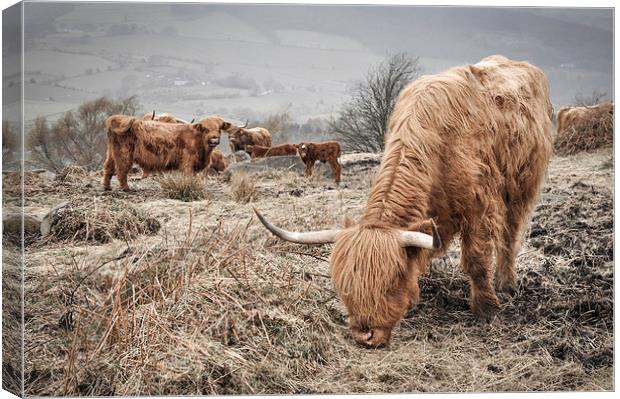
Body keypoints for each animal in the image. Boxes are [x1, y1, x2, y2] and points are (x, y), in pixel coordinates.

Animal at [104, 115, 235, 191]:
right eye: (205, 129)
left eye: (219, 129)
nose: (214, 140)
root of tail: (118, 118)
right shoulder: (187, 162)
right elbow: (188, 176)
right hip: (124, 153)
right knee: (121, 170)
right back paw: (126, 188)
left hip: (112, 152)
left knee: (108, 167)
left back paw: (107, 187)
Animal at [254, 54, 556, 348]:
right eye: (345, 287)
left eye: (390, 284)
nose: (366, 336)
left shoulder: (478, 206)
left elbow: (477, 259)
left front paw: (487, 310)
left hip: (522, 183)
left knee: (510, 232)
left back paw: (506, 283)